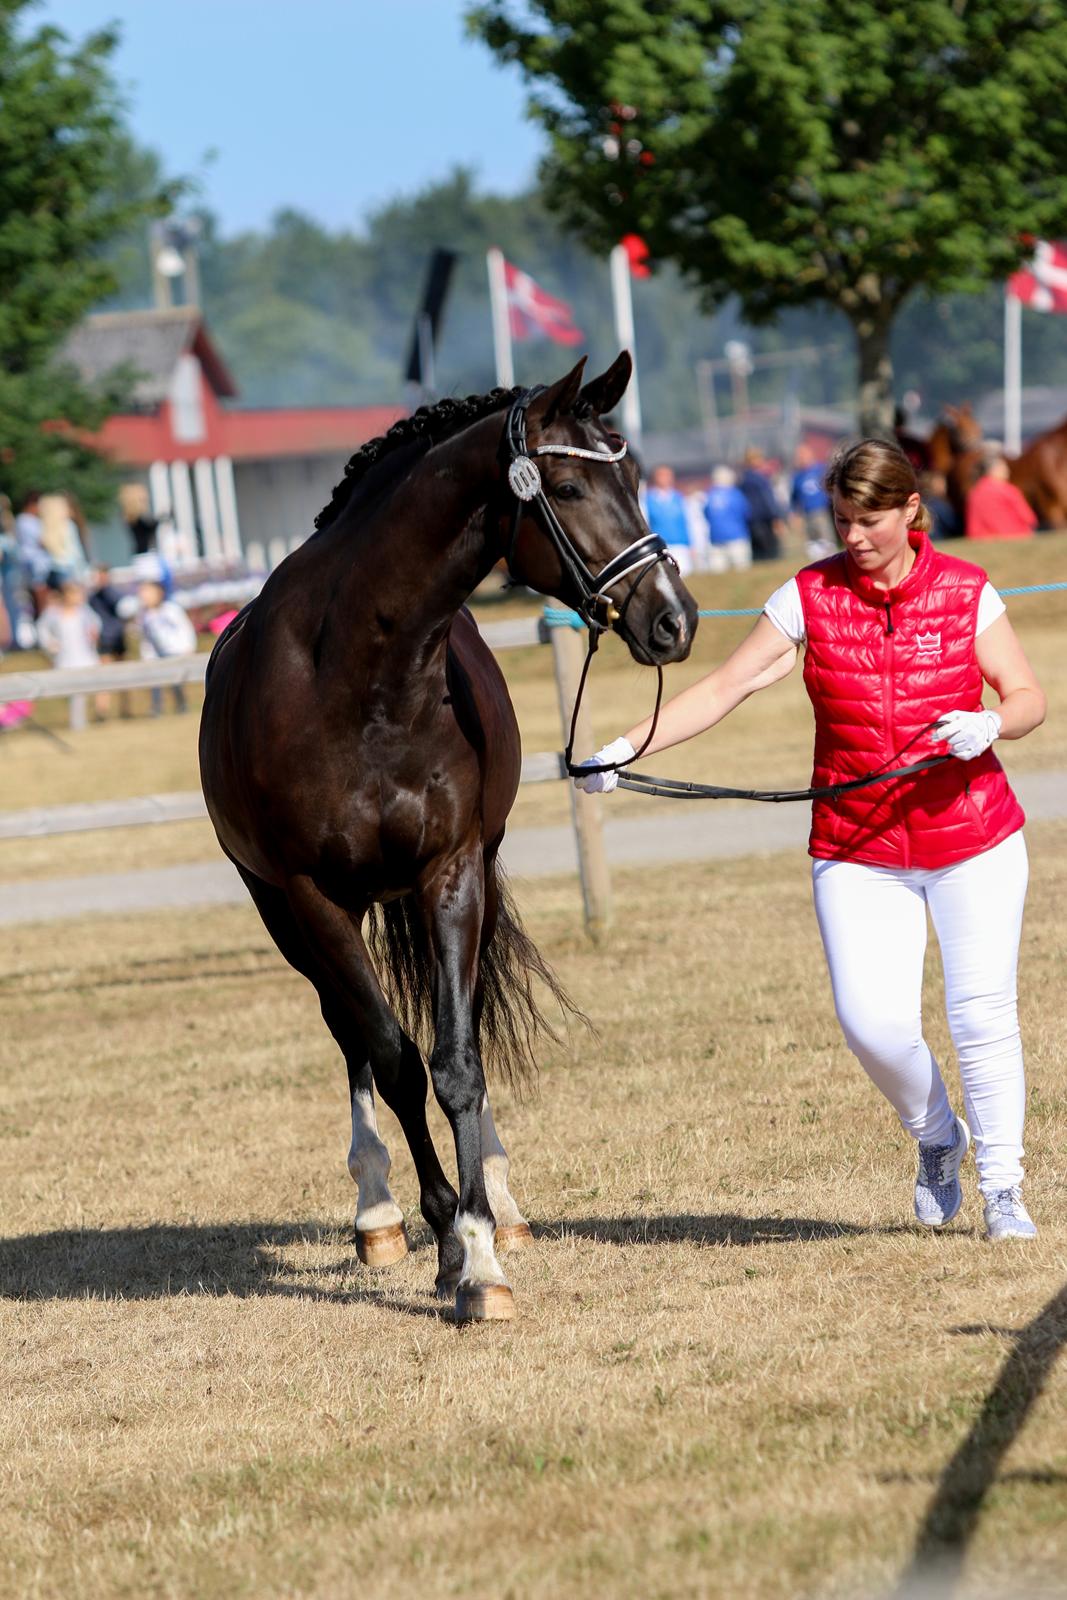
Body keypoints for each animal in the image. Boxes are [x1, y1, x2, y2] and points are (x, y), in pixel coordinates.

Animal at [199, 356, 700, 1318]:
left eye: (635, 477)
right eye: (569, 485)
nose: (674, 618)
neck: (362, 680)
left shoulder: (453, 871)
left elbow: (457, 1061)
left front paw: (478, 1252)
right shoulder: (311, 897)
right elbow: (393, 1060)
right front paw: (443, 1238)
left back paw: (499, 1201)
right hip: (286, 914)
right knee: (351, 1035)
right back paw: (377, 1212)